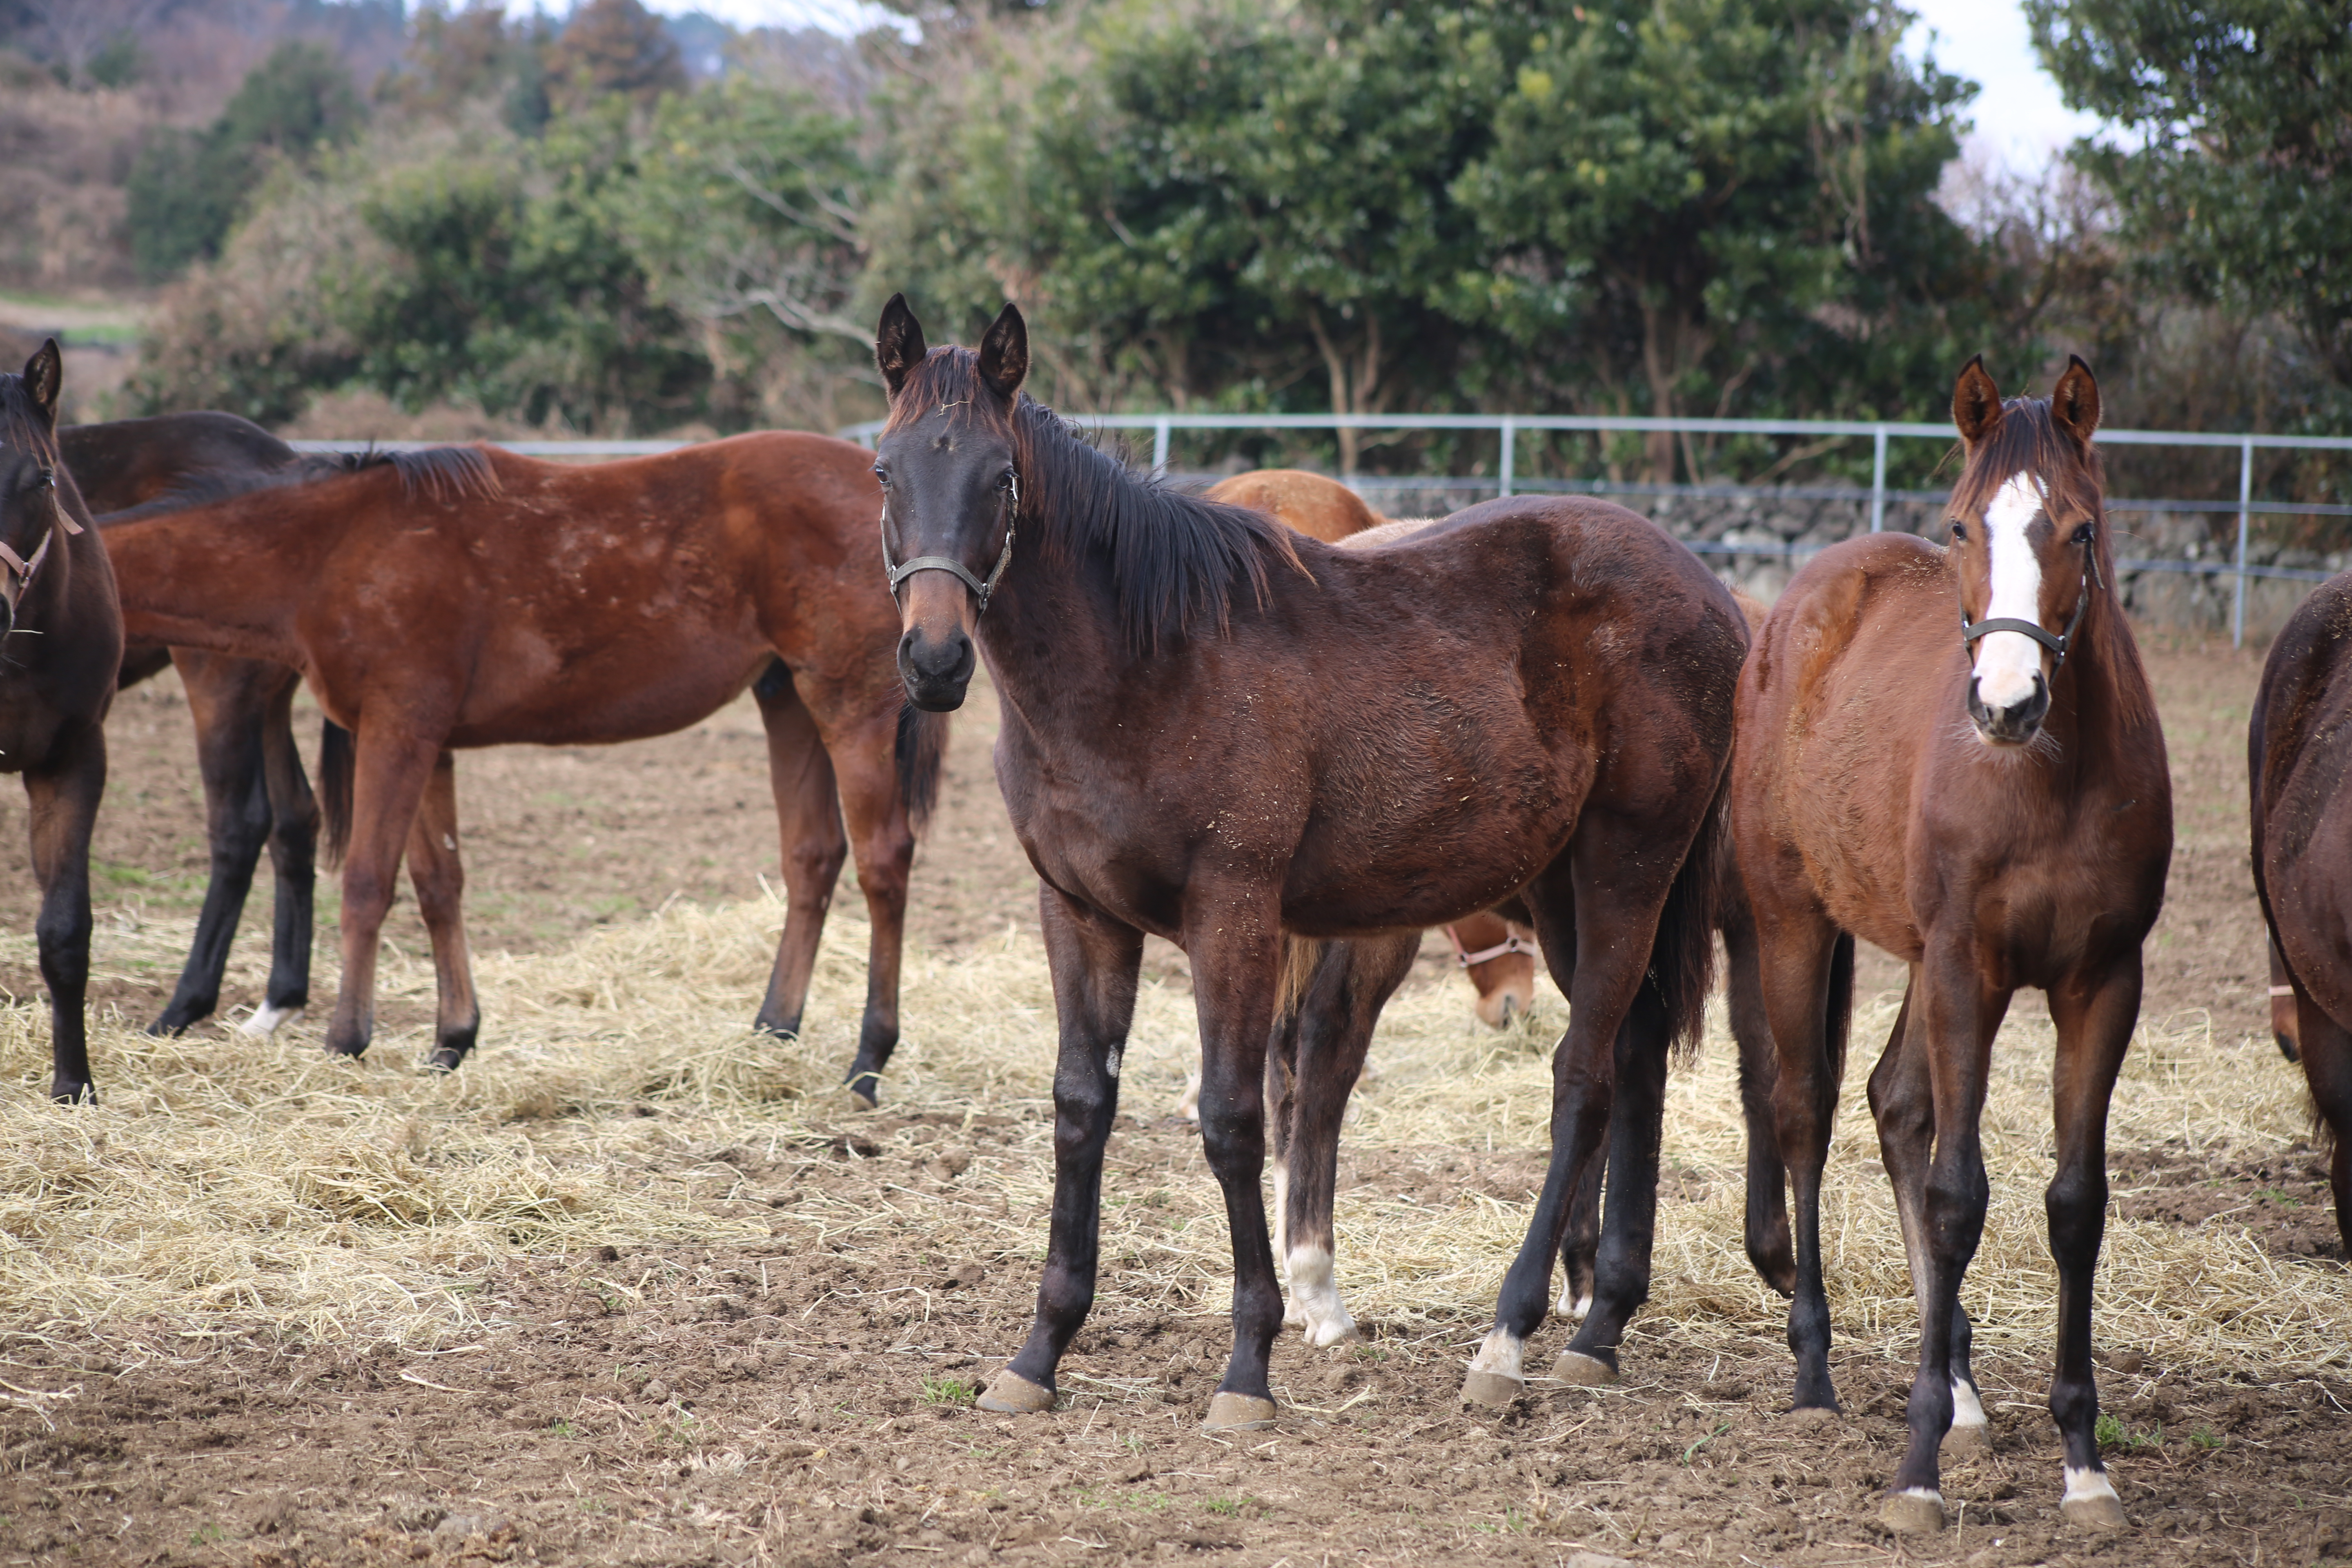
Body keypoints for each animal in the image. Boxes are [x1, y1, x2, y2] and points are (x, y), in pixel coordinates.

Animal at [98, 430, 945, 1091]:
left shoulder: (396, 733)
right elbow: (439, 884)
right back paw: (773, 1029)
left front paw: (346, 1040)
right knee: (813, 855)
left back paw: (869, 1060)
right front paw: (451, 1041)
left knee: (883, 861)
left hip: (849, 708)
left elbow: (369, 884)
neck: (334, 549)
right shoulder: (425, 743)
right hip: (787, 701)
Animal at [870, 297, 1750, 1439]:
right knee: (1634, 1056)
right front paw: (1039, 1353)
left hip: (1625, 872)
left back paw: (1506, 1338)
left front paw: (1249, 1363)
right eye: (885, 470)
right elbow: (1079, 1108)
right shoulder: (1079, 915)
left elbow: (1234, 1117)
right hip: (1567, 892)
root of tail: (1710, 591)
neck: (1147, 665)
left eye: (1000, 477)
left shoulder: (1234, 916)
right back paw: (1598, 1327)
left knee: (1582, 1080)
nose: (934, 663)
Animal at [1731, 352, 2164, 1532]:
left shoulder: (2101, 983)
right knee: (1804, 1113)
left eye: (2079, 529)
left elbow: (2072, 1204)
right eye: (1964, 525)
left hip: (1922, 962)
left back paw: (1964, 1392)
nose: (2004, 703)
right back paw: (1815, 1372)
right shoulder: (1971, 969)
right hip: (1795, 921)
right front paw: (1916, 1465)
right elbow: (1958, 1196)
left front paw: (2082, 1460)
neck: (2046, 776)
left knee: (1895, 1104)